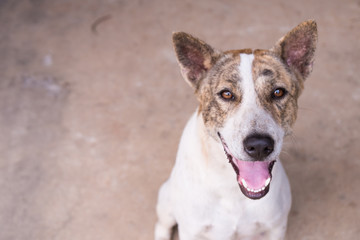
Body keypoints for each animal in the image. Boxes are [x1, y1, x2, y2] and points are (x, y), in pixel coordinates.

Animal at [155, 21, 318, 240]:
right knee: (162, 224)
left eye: (278, 92)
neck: (232, 188)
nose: (259, 146)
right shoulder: (190, 230)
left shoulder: (276, 227)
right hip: (166, 200)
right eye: (226, 94)